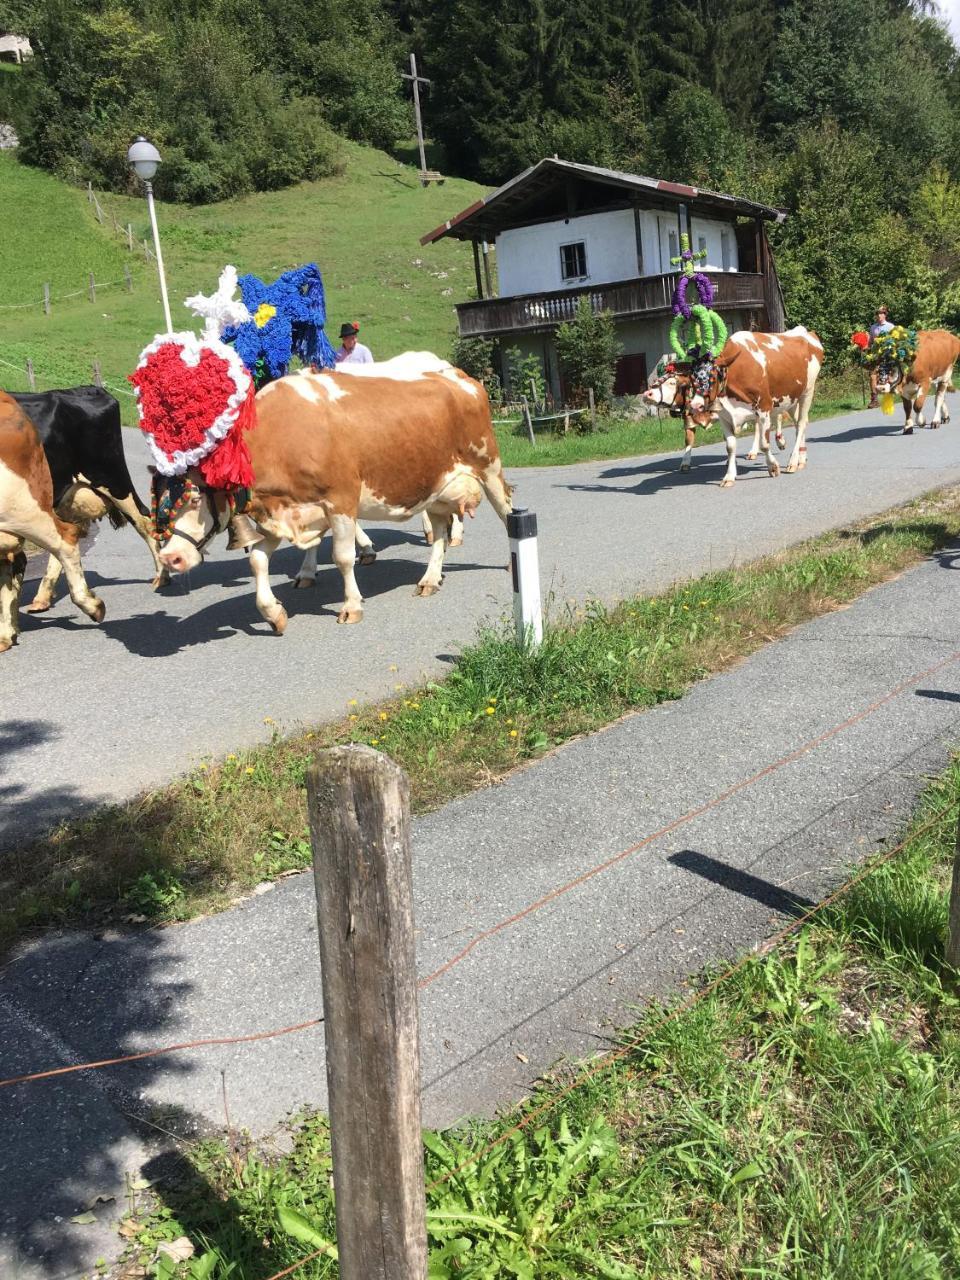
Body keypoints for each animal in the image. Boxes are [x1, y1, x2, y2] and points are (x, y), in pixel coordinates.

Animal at [154, 353, 514, 632]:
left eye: (196, 499)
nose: (169, 557)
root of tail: (457, 375)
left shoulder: (340, 499)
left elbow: (342, 557)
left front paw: (351, 605)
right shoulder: (285, 511)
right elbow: (257, 559)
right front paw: (274, 613)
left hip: (488, 466)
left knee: (506, 512)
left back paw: (510, 563)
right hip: (436, 485)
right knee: (439, 532)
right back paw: (429, 578)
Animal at [647, 327, 819, 486]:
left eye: (712, 376)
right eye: (691, 377)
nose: (695, 405)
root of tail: (806, 332)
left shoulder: (764, 407)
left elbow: (764, 444)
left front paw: (773, 467)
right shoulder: (723, 416)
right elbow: (728, 446)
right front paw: (729, 476)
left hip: (807, 392)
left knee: (801, 424)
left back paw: (792, 461)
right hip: (791, 400)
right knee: (798, 423)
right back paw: (801, 458)